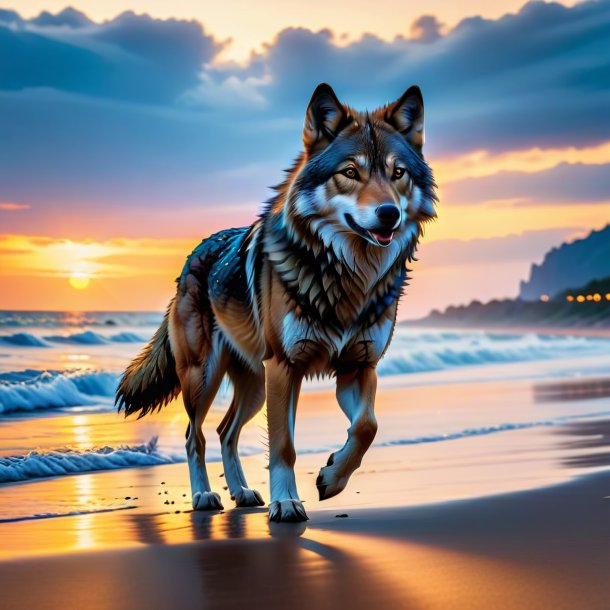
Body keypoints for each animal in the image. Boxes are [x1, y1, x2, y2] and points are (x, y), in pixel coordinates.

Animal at [116, 83, 434, 520]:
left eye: (397, 173)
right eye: (350, 172)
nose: (389, 214)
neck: (349, 274)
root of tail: (193, 255)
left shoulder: (358, 367)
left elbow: (367, 427)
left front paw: (332, 478)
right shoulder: (285, 367)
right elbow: (284, 444)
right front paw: (286, 502)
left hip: (254, 384)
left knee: (225, 431)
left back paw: (242, 493)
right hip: (206, 377)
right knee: (194, 435)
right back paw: (204, 496)